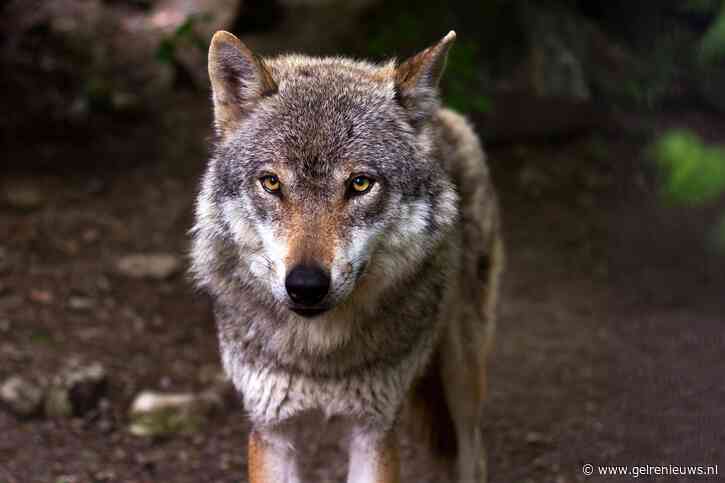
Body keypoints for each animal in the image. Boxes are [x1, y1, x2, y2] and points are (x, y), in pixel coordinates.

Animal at [190, 29, 504, 483]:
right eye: (271, 182)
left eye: (359, 184)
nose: (305, 285)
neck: (319, 356)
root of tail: (441, 115)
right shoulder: (271, 429)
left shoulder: (374, 429)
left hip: (462, 373)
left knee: (473, 453)